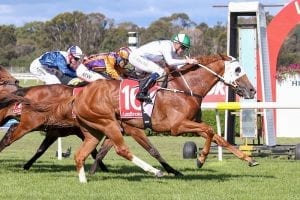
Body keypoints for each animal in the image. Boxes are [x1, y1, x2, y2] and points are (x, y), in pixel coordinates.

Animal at [68, 54, 258, 181]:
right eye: (238, 69)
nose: (252, 90)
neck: (185, 88)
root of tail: (80, 94)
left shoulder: (192, 122)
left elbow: (219, 138)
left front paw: (249, 159)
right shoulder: (177, 126)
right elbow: (210, 129)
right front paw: (201, 159)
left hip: (97, 129)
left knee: (85, 152)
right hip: (108, 123)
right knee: (121, 149)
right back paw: (155, 171)